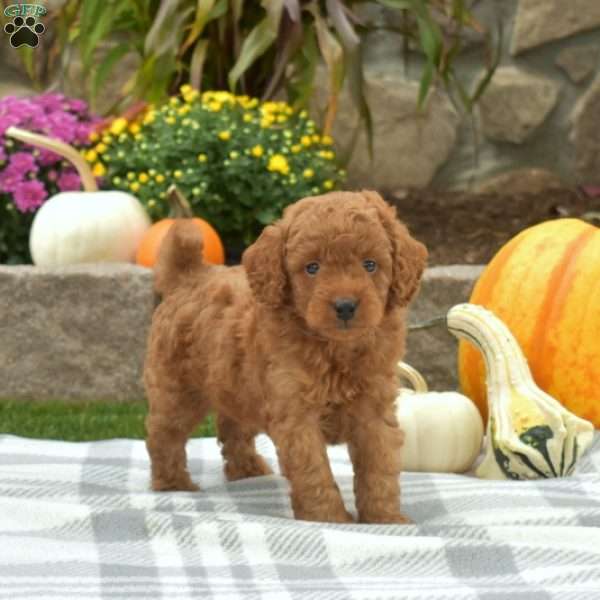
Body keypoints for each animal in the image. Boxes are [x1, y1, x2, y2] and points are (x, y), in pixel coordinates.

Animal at [145, 190, 426, 524]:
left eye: (370, 264)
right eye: (312, 268)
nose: (345, 306)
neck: (334, 349)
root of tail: (190, 274)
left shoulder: (374, 408)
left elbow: (379, 467)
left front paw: (385, 519)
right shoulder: (296, 415)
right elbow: (314, 472)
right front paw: (329, 518)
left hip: (236, 385)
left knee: (232, 426)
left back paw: (247, 470)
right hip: (177, 388)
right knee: (164, 433)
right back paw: (173, 483)